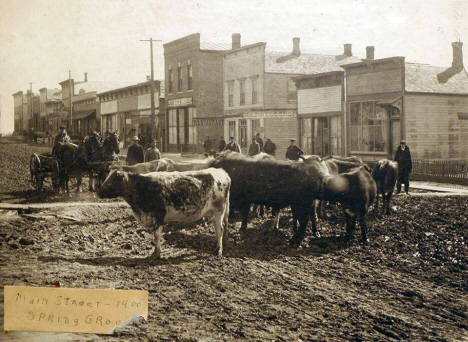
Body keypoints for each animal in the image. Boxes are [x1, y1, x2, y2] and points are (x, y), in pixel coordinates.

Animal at [98, 167, 231, 258]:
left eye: (111, 181)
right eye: (106, 178)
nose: (98, 192)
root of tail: (221, 171)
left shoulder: (158, 216)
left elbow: (157, 235)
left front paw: (156, 254)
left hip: (219, 210)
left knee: (220, 229)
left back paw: (218, 250)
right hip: (214, 212)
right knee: (218, 229)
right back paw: (215, 246)